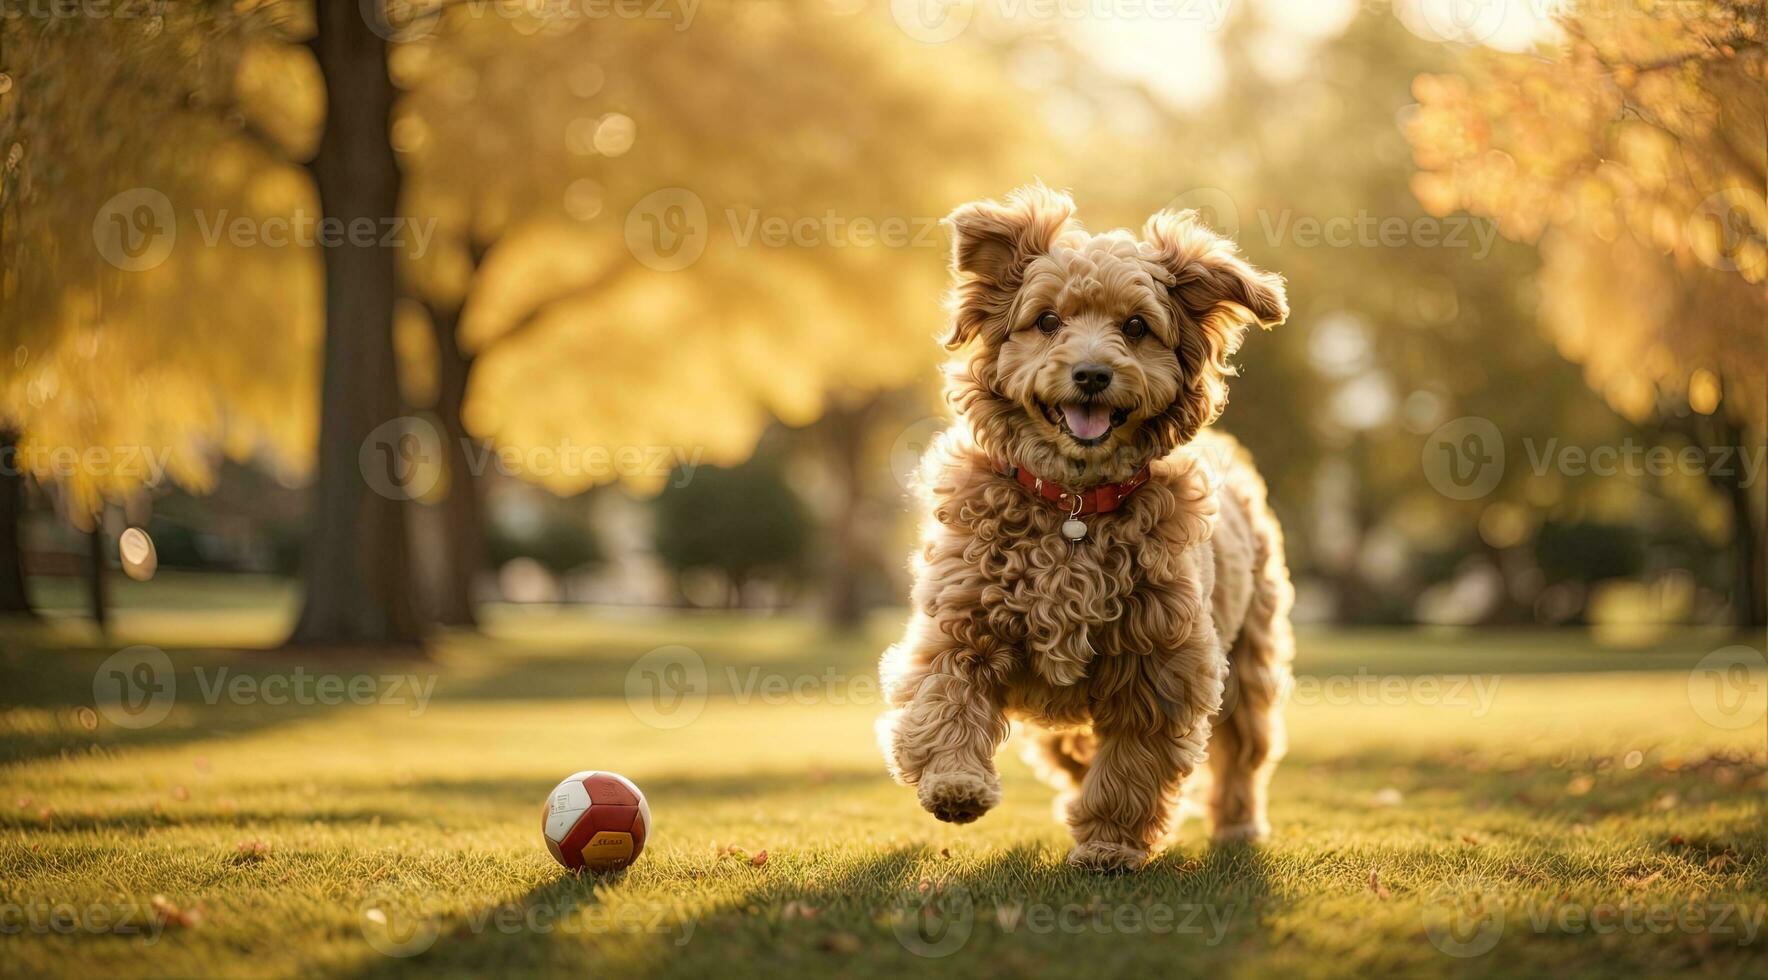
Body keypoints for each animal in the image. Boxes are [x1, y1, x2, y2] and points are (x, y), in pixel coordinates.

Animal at [873, 184, 1301, 870]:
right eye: (1048, 321)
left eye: (1136, 327)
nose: (1093, 374)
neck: (1073, 505)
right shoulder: (963, 622)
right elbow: (945, 699)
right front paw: (955, 785)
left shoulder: (1162, 664)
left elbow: (1130, 768)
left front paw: (1107, 845)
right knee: (1069, 751)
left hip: (1250, 658)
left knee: (1243, 749)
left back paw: (1237, 824)